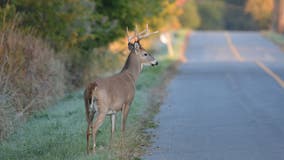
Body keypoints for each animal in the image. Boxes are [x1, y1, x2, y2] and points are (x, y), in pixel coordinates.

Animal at [83, 24, 159, 153]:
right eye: (145, 53)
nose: (156, 62)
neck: (131, 76)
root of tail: (92, 86)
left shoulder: (113, 110)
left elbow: (113, 129)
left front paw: (110, 148)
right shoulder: (127, 102)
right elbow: (123, 126)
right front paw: (123, 146)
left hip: (88, 109)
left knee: (87, 128)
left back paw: (88, 152)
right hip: (102, 108)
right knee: (94, 127)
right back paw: (94, 151)